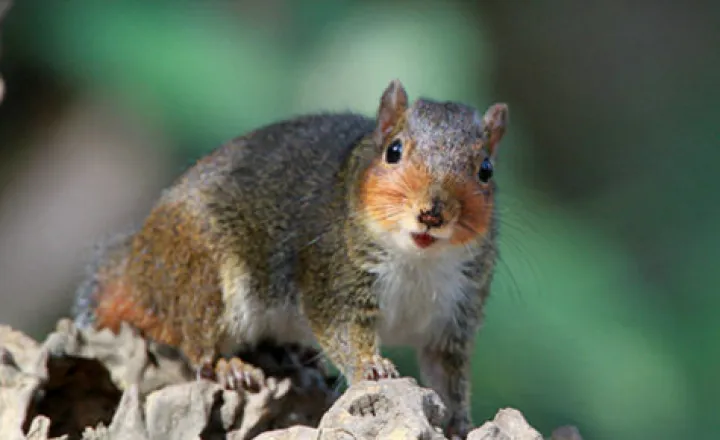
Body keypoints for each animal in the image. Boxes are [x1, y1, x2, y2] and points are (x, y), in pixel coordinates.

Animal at [72, 79, 508, 439]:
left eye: (486, 170)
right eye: (394, 151)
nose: (432, 214)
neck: (418, 259)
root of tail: (138, 265)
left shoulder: (455, 315)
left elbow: (449, 376)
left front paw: (460, 423)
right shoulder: (332, 277)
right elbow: (340, 327)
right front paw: (370, 366)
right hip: (204, 279)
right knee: (194, 341)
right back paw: (229, 366)